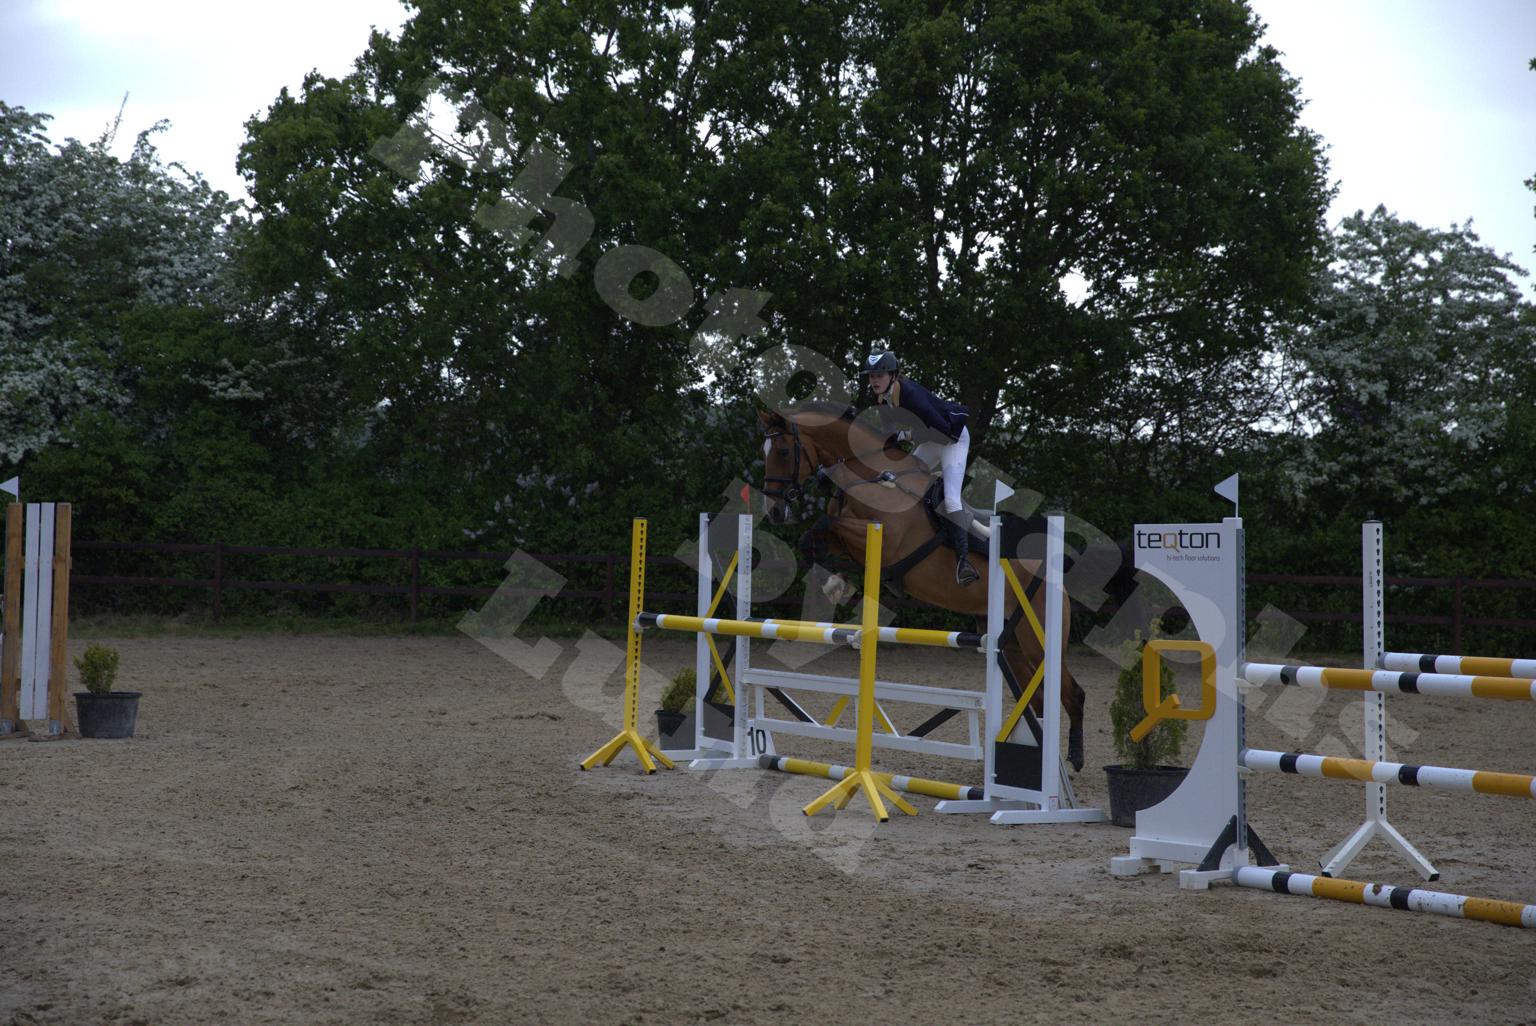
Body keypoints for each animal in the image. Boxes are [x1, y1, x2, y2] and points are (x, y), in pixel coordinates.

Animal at [755, 400, 1087, 772]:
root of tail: (1055, 576)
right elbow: (814, 537)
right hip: (1010, 644)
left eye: (784, 450)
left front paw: (839, 583)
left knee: (1071, 693)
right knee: (1040, 698)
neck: (870, 476)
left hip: (1037, 639)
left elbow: (830, 525)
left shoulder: (887, 540)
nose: (774, 509)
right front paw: (837, 583)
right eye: (763, 452)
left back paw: (1074, 759)